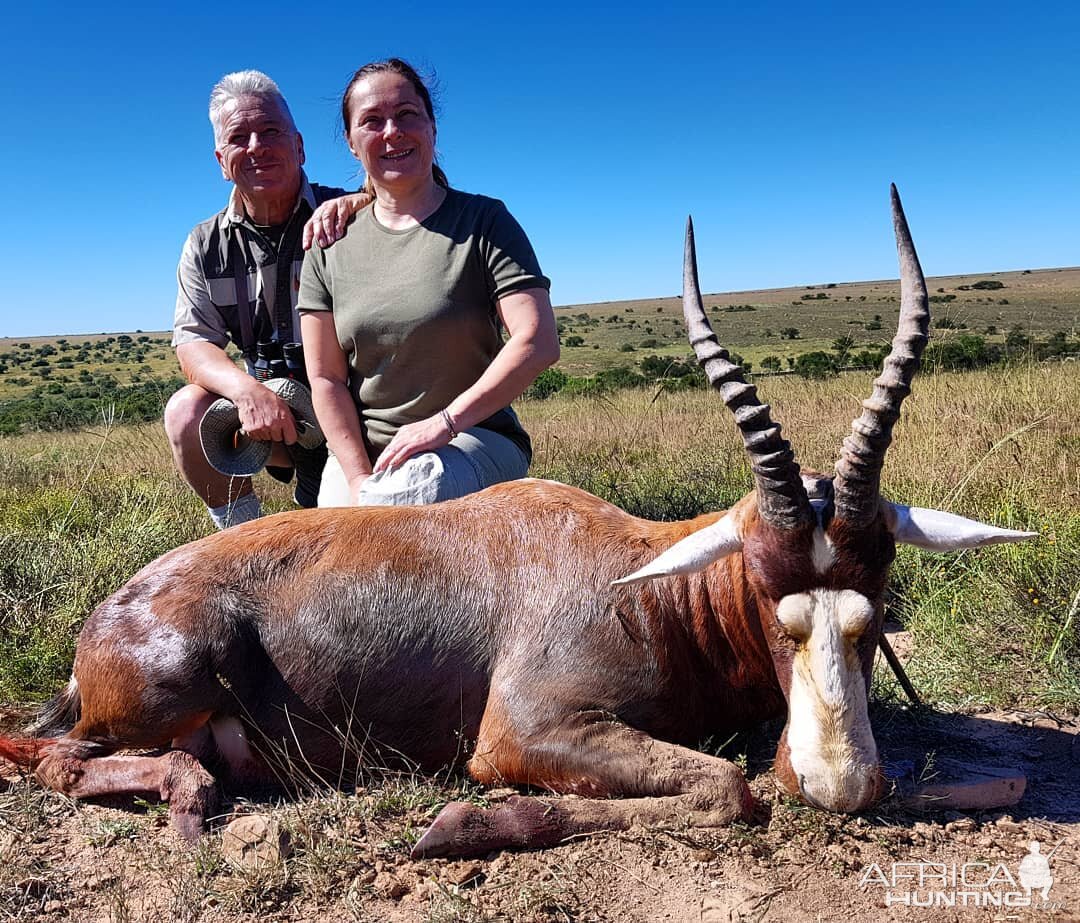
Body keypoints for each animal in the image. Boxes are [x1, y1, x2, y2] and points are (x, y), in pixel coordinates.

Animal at [0, 187, 1032, 859]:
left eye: (876, 602)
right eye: (772, 594)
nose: (841, 784)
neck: (643, 581)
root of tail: (108, 619)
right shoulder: (524, 733)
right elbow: (730, 789)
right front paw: (452, 827)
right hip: (157, 693)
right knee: (50, 753)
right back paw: (196, 802)